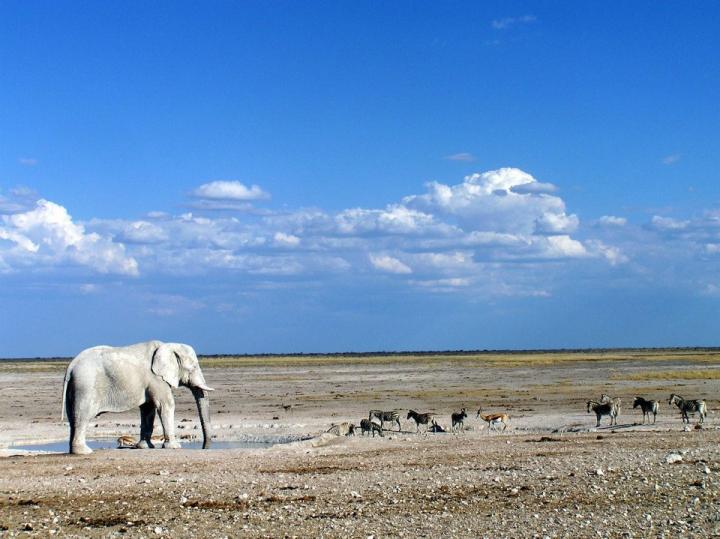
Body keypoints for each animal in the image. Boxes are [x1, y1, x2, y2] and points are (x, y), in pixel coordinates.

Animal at [61, 340, 213, 454]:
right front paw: (174, 447)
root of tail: (71, 366)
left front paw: (145, 447)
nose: (204, 448)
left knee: (72, 418)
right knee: (82, 417)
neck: (167, 346)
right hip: (85, 387)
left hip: (75, 387)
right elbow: (166, 404)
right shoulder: (156, 378)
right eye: (193, 367)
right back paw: (84, 451)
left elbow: (148, 409)